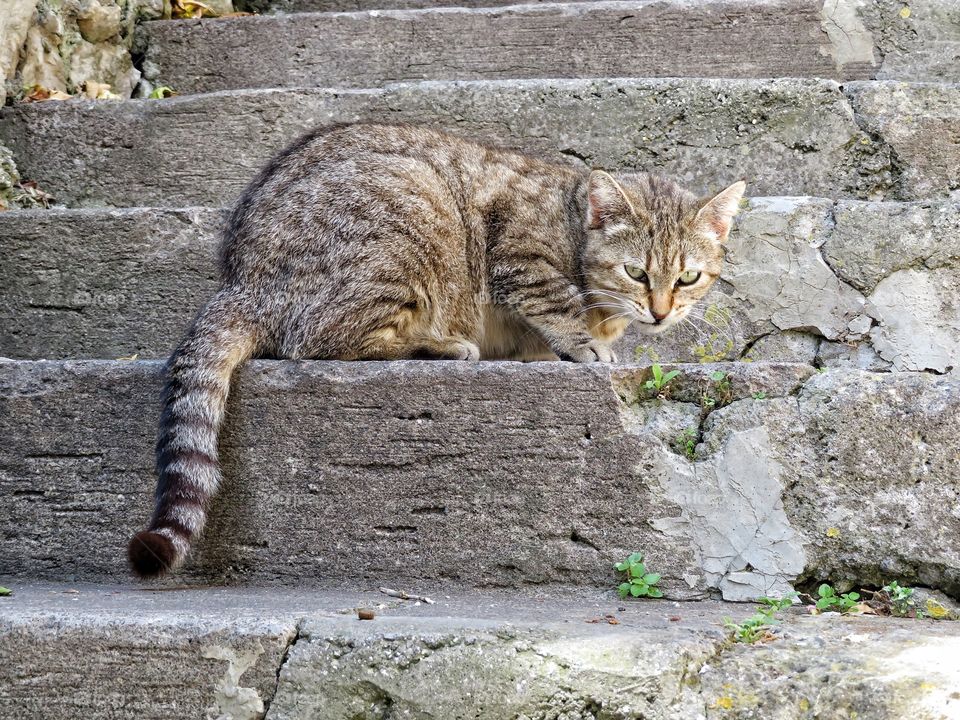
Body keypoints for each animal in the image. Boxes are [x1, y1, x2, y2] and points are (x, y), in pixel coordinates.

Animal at [125, 121, 744, 576]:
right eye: (635, 272)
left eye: (688, 278)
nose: (661, 311)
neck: (571, 223)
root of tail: (241, 280)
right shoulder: (519, 252)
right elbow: (555, 302)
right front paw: (583, 343)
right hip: (412, 214)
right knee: (320, 341)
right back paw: (440, 346)